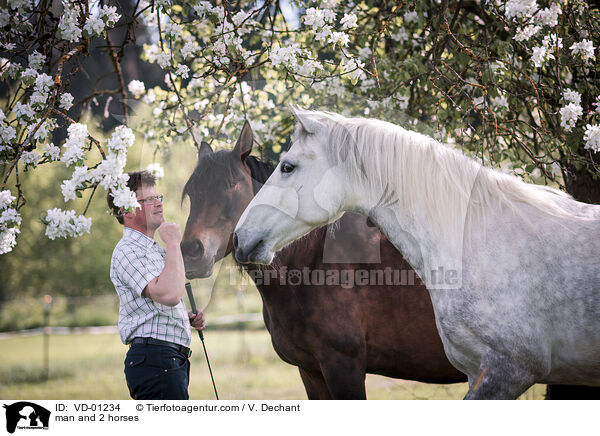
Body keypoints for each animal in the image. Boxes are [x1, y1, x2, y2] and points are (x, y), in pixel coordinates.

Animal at [180, 122, 466, 398]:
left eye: (231, 185)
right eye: (192, 193)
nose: (191, 250)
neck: (313, 265)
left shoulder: (343, 367)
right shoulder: (311, 371)